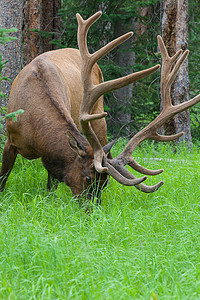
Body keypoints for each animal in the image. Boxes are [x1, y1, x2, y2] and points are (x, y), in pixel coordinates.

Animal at [0, 12, 200, 204]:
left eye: (104, 183)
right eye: (88, 178)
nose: (93, 211)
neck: (35, 133)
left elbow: (51, 186)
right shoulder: (10, 140)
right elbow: (3, 178)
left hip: (99, 117)